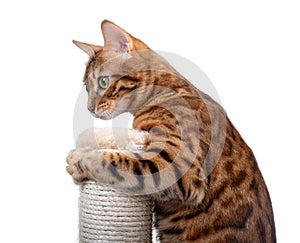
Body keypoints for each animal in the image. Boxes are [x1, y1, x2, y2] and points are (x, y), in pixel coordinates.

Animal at [67, 19, 276, 242]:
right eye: (87, 88)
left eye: (103, 81)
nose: (89, 108)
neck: (166, 88)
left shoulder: (177, 165)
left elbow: (118, 160)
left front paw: (78, 159)